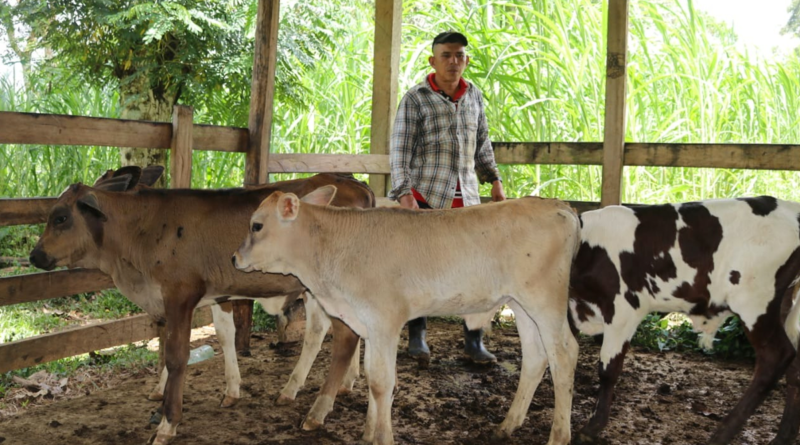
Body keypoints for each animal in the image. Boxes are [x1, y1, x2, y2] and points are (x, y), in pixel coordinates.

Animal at [27, 168, 372, 442]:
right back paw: (311, 389)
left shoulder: (180, 295)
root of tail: (350, 181)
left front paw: (168, 422)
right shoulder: (216, 295)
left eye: (60, 218)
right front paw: (229, 392)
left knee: (341, 338)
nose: (34, 255)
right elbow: (223, 336)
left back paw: (317, 411)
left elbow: (176, 355)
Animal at [233, 187, 580, 444]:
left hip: (545, 302)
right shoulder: (369, 324)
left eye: (257, 225)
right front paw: (369, 432)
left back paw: (558, 435)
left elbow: (382, 381)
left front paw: (382, 436)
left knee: (564, 353)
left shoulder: (384, 320)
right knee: (536, 357)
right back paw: (507, 425)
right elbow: (373, 377)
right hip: (521, 305)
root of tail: (556, 205)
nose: (235, 258)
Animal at [572, 198, 800, 444]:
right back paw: (783, 437)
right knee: (794, 365)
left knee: (776, 357)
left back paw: (720, 436)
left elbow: (608, 369)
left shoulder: (624, 308)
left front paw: (592, 427)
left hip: (754, 301)